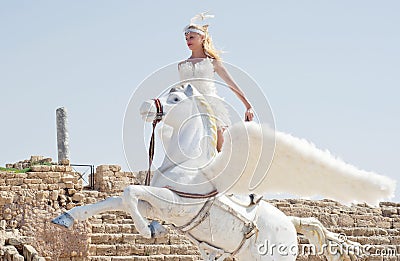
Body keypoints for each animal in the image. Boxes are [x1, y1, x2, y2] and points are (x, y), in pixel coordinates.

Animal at [53, 84, 394, 260]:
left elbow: (128, 192)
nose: (144, 107)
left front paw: (149, 230)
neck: (186, 165)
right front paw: (66, 217)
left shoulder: (174, 204)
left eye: (175, 97)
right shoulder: (157, 203)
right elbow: (117, 199)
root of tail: (291, 222)